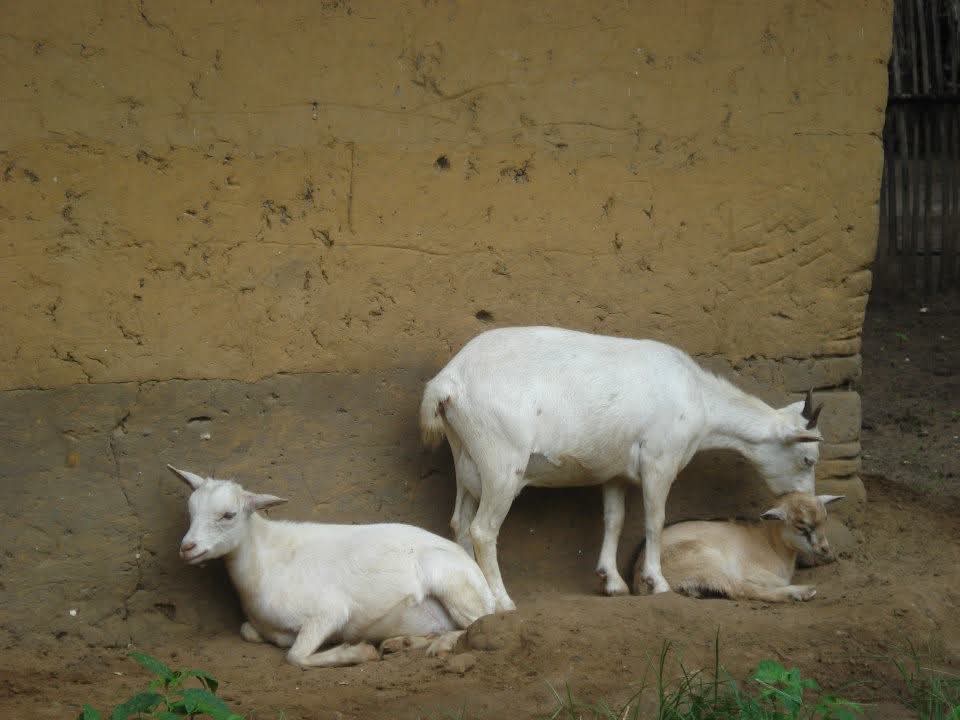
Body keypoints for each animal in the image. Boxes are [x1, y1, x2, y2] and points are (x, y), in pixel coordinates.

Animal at [167, 466, 495, 668]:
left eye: (228, 515)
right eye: (191, 511)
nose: (187, 548)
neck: (266, 561)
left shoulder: (329, 611)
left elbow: (295, 656)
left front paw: (359, 652)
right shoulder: (261, 624)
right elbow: (249, 631)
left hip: (452, 582)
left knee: (482, 622)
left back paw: (436, 646)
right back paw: (401, 643)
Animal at [630, 493, 844, 601]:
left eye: (825, 519)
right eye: (801, 527)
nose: (825, 550)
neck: (769, 542)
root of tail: (639, 582)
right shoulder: (752, 570)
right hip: (706, 561)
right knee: (738, 589)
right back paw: (802, 592)